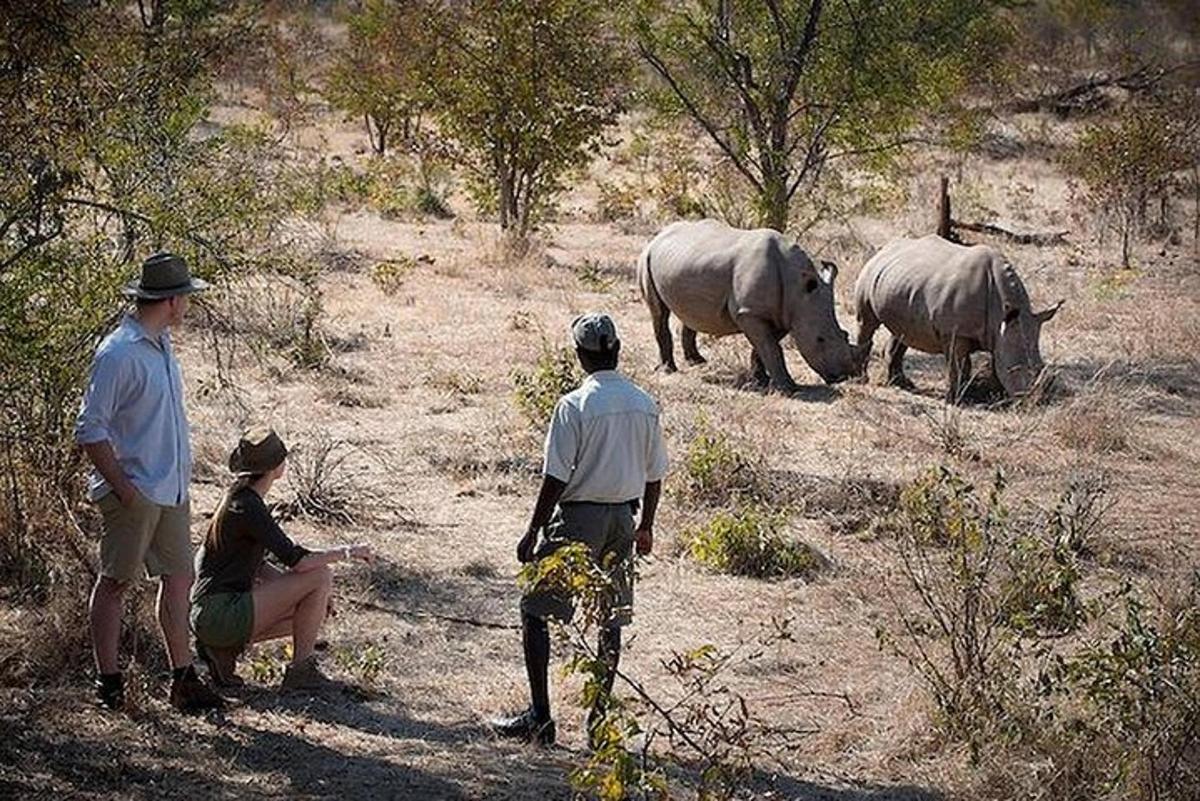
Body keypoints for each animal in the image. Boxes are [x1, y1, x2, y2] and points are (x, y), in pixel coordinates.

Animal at [638, 219, 864, 393]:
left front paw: (761, 380)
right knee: (659, 313)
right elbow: (771, 348)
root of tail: (658, 236)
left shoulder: (783, 314)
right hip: (646, 257)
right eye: (820, 339)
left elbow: (765, 347)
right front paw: (789, 389)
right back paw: (669, 370)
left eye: (844, 335)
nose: (843, 376)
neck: (797, 288)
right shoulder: (750, 313)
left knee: (693, 312)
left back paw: (697, 361)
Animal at [849, 235, 1065, 402]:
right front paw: (956, 400)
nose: (1038, 401)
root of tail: (884, 248)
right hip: (869, 272)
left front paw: (994, 394)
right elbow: (959, 365)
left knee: (903, 331)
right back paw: (862, 379)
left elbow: (993, 360)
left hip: (900, 282)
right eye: (1015, 369)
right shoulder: (955, 331)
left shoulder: (999, 331)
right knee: (867, 323)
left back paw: (903, 384)